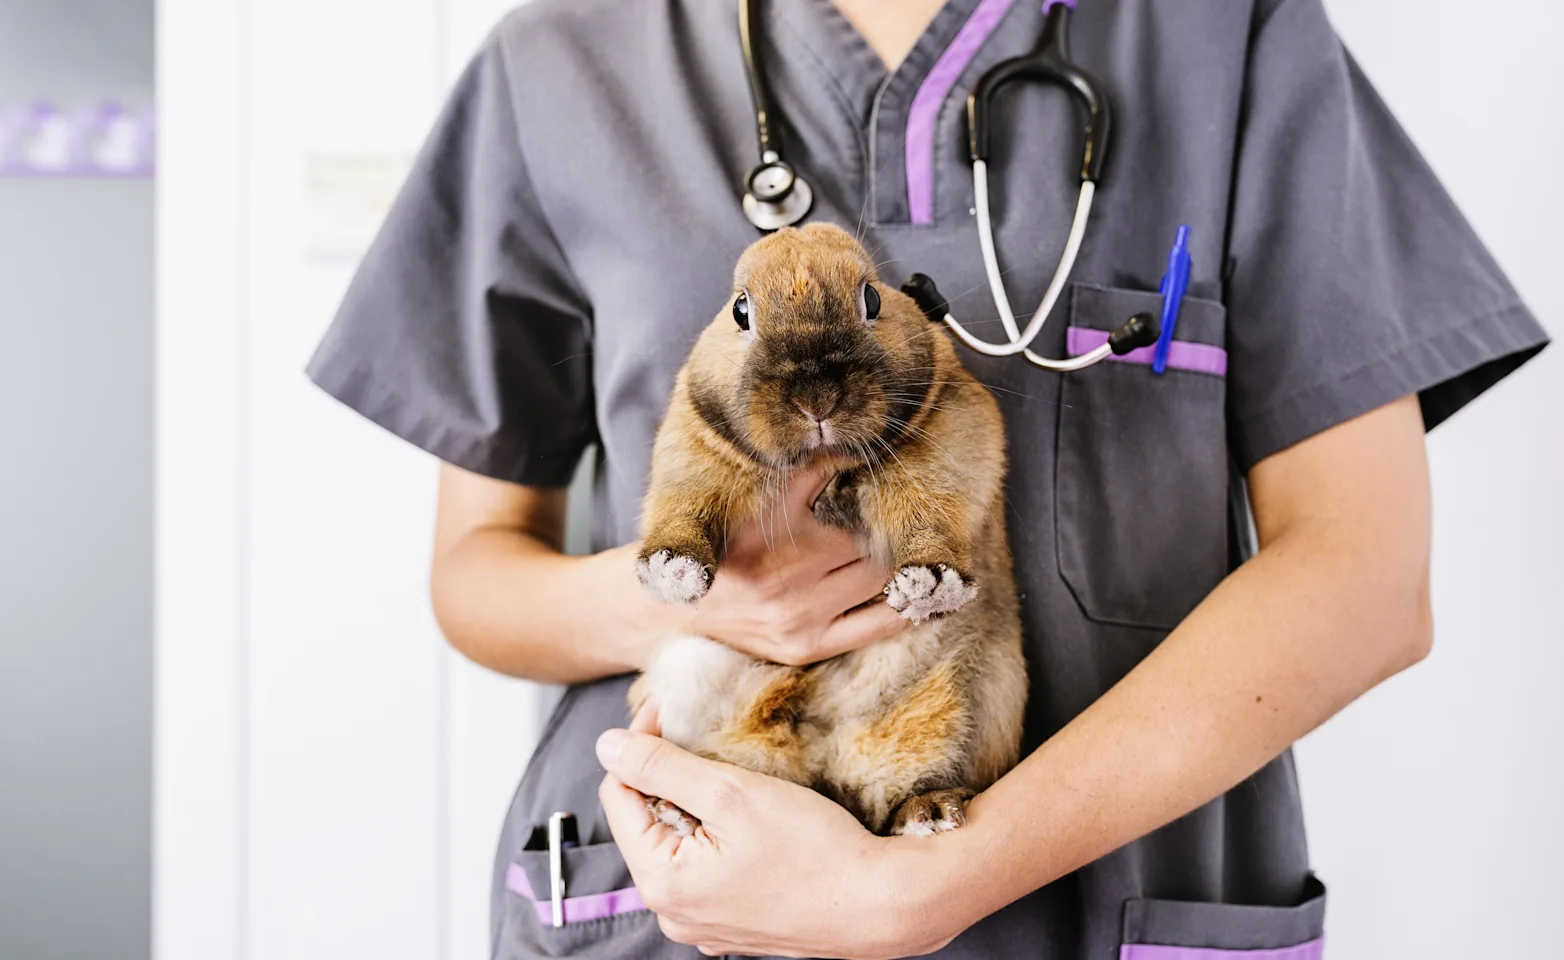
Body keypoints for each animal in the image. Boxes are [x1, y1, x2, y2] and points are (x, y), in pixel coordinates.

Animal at [622, 222, 1025, 838]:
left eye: (872, 299)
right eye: (741, 311)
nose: (816, 398)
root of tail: (824, 752)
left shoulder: (951, 433)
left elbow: (931, 511)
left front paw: (928, 585)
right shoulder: (691, 450)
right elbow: (682, 506)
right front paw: (674, 573)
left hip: (983, 696)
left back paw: (928, 813)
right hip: (691, 673)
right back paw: (680, 810)